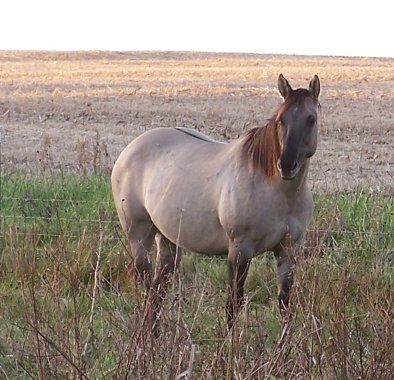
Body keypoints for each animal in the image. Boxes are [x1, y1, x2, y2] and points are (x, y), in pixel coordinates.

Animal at [111, 73, 320, 330]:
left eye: (311, 119)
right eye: (281, 119)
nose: (287, 165)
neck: (278, 193)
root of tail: (129, 150)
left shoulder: (288, 251)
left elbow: (285, 304)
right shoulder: (240, 251)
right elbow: (233, 303)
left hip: (168, 241)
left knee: (157, 291)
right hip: (139, 237)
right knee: (148, 286)